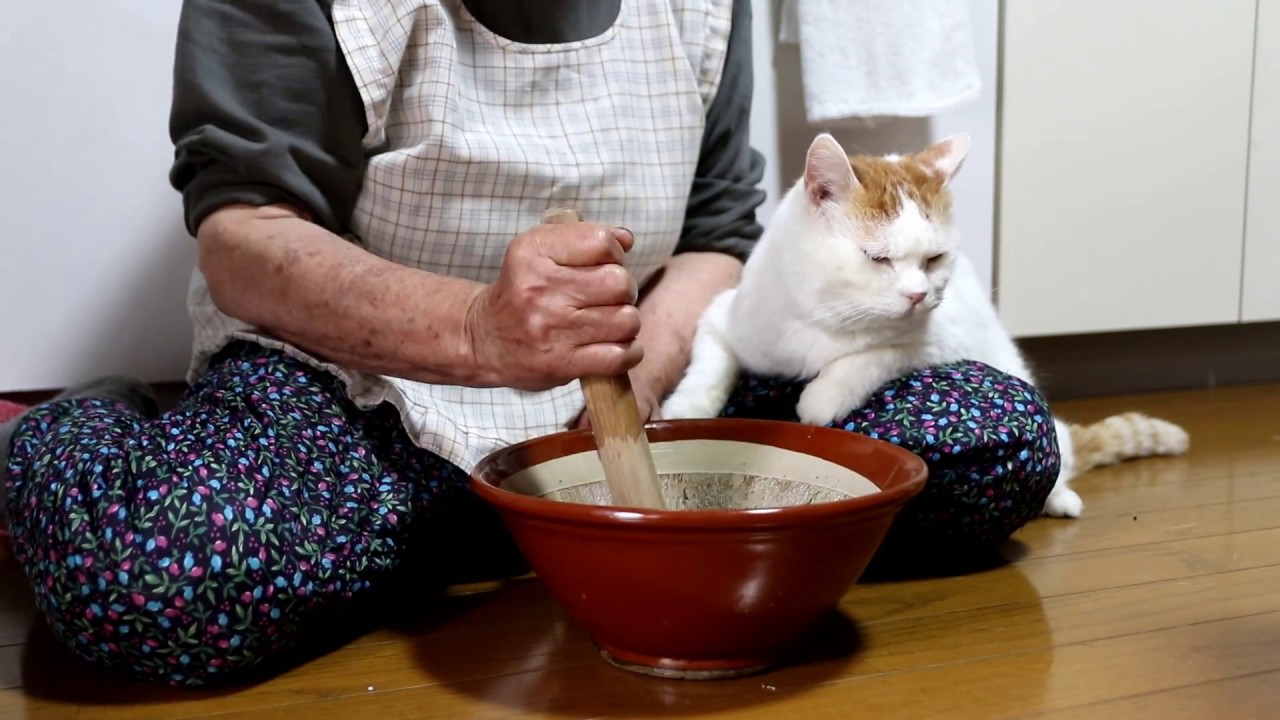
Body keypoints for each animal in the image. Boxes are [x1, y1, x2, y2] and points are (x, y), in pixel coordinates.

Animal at [660, 130, 1187, 515]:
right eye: (877, 258)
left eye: (934, 259)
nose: (916, 294)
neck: (825, 319)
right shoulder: (722, 316)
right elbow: (709, 367)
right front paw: (682, 414)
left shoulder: (935, 340)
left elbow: (868, 358)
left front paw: (819, 400)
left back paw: (1061, 501)